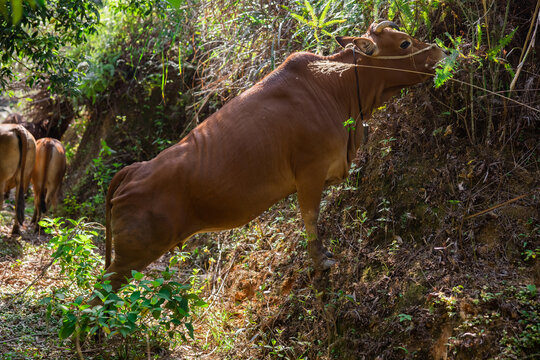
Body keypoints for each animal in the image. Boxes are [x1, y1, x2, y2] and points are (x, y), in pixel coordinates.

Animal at [99, 21, 446, 292]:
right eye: (404, 42)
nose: (441, 51)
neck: (336, 87)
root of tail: (134, 170)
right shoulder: (309, 172)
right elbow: (310, 217)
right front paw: (320, 261)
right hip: (132, 256)